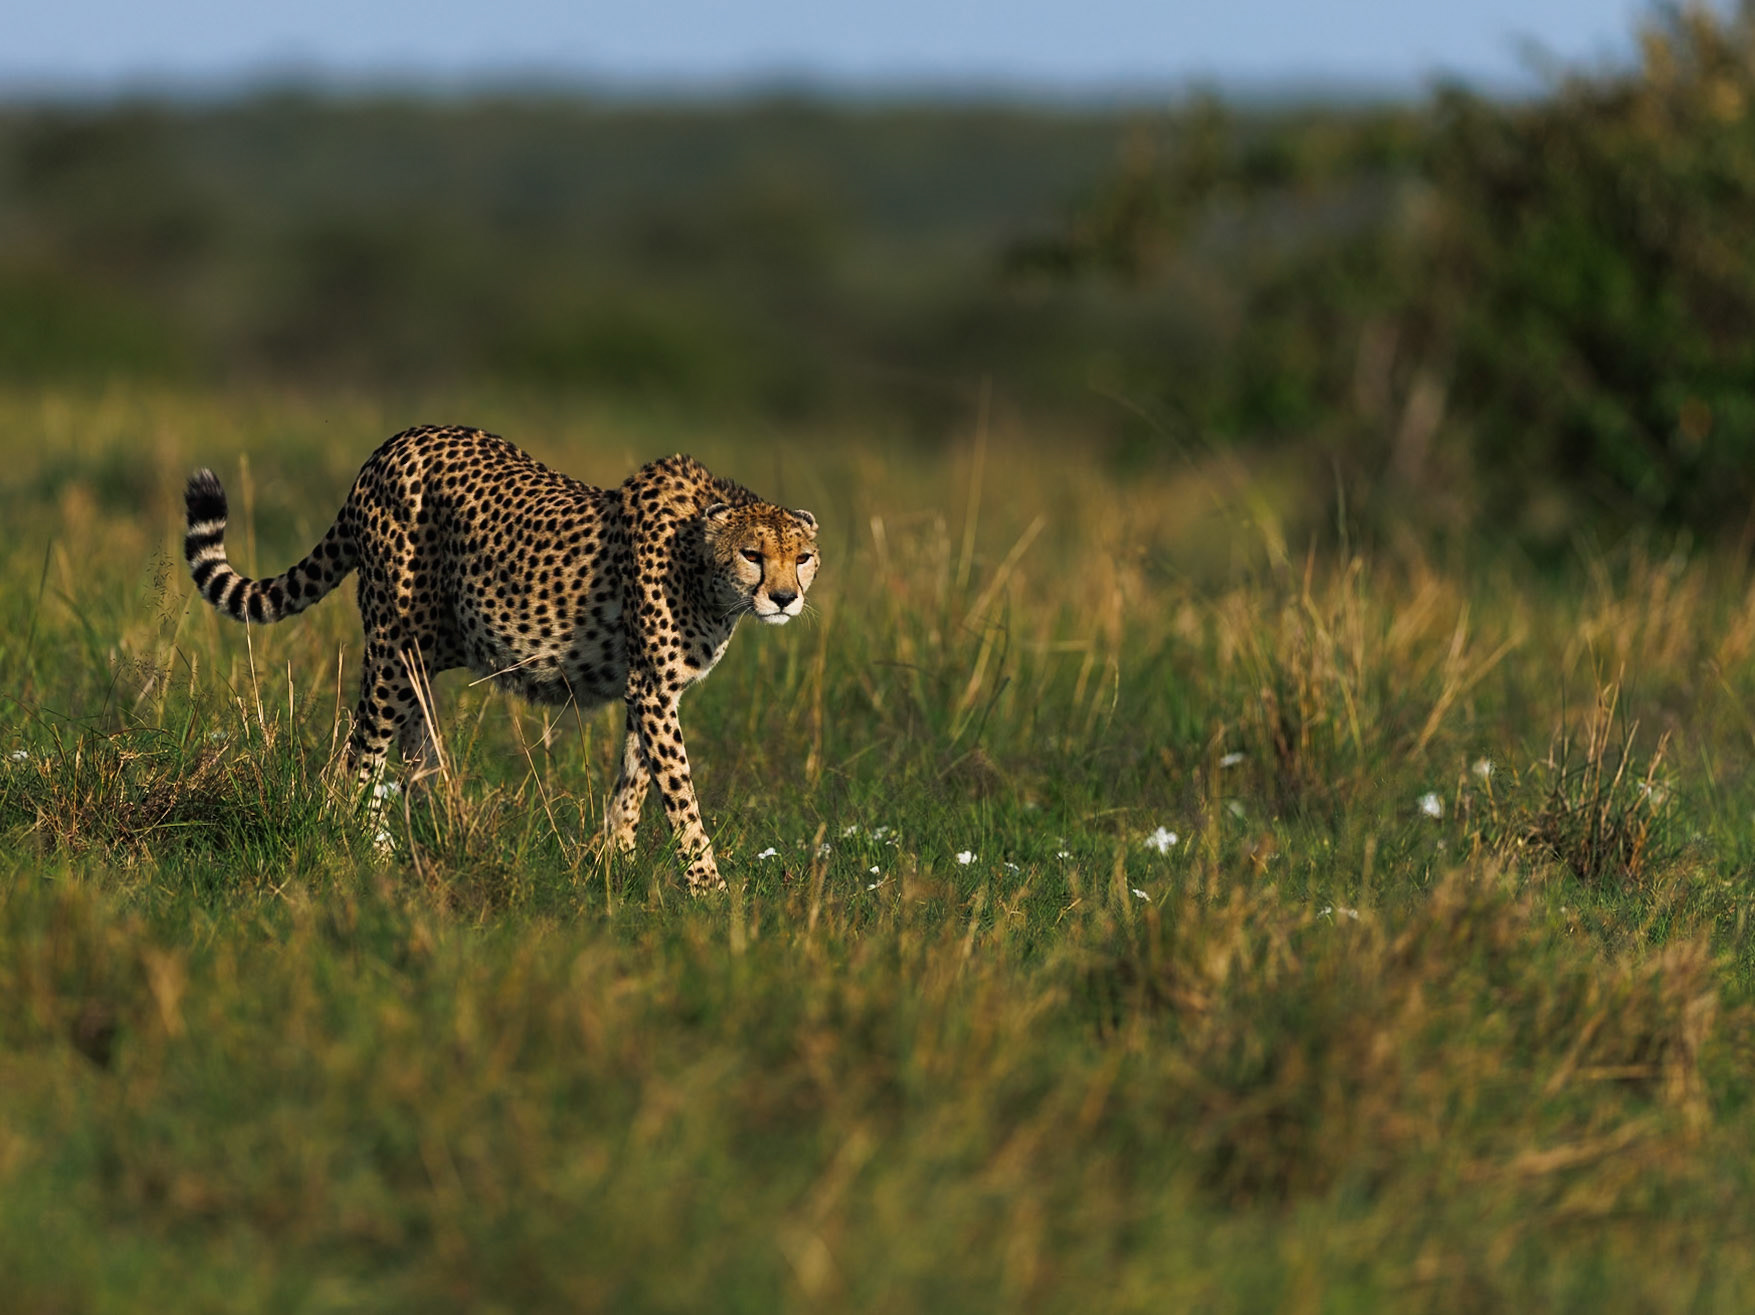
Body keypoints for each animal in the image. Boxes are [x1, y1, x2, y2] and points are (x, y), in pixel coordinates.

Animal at [182, 425, 820, 890]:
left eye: (804, 557)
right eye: (752, 554)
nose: (785, 598)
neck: (705, 570)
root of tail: (399, 440)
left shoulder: (655, 692)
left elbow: (634, 784)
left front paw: (610, 864)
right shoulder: (653, 691)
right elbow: (681, 796)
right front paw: (711, 892)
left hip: (426, 649)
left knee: (407, 742)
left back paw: (426, 823)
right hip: (394, 643)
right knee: (359, 753)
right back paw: (372, 853)